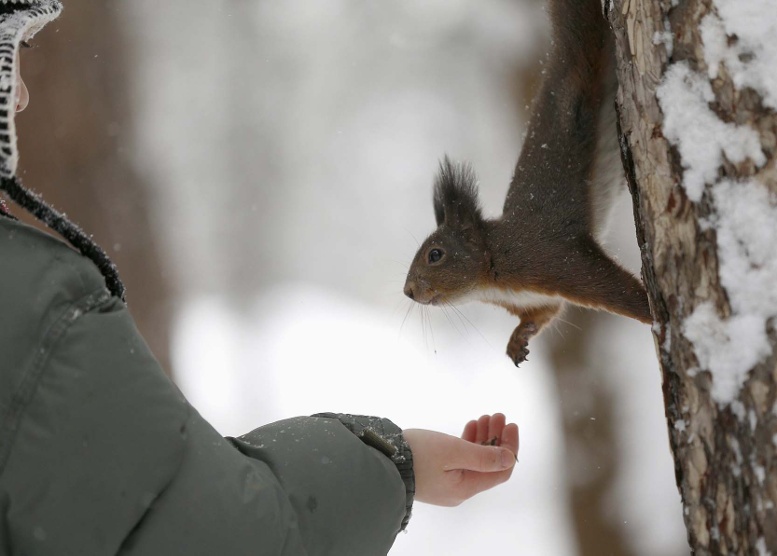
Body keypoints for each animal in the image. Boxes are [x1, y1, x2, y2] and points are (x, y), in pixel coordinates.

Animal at [404, 0, 652, 368]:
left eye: (435, 255)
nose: (407, 291)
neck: (492, 272)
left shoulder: (553, 259)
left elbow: (613, 287)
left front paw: (654, 313)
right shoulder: (533, 299)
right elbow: (546, 312)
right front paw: (516, 340)